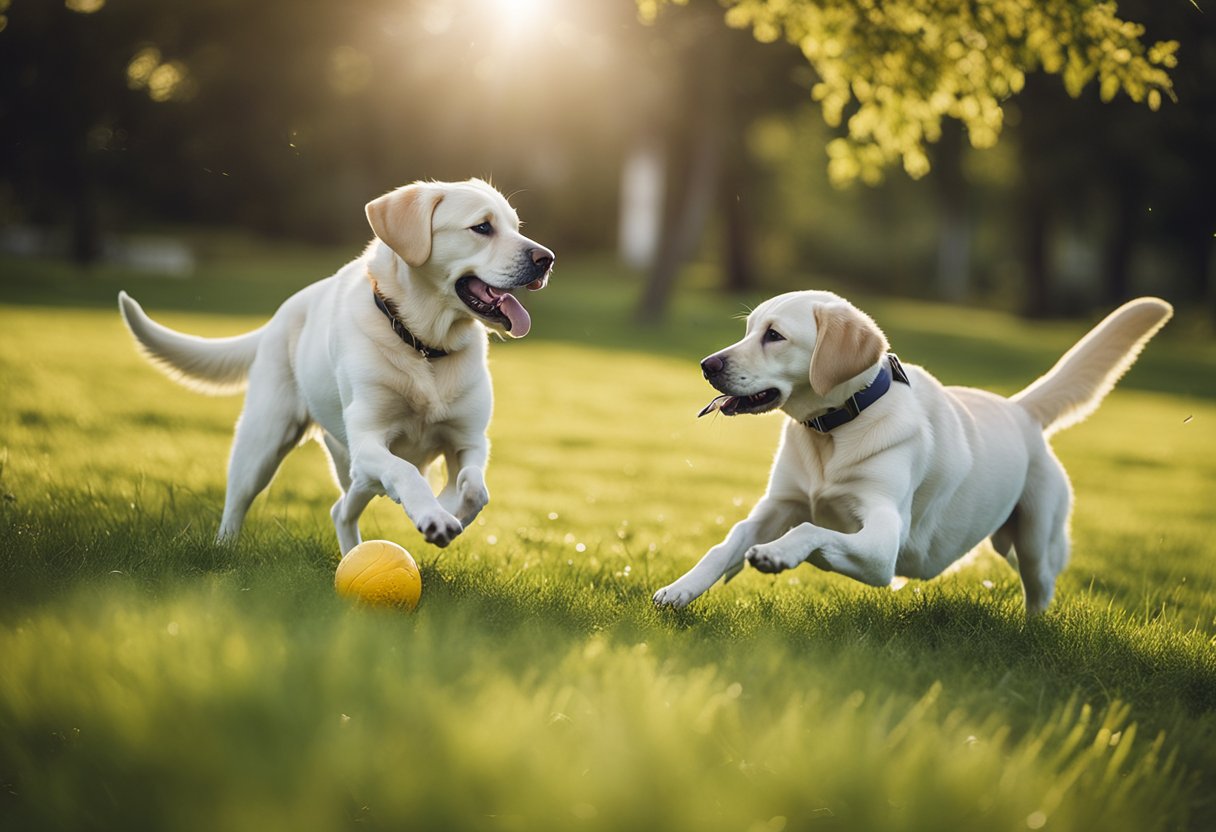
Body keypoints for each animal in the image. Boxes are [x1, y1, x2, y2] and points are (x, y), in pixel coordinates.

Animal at [116, 177, 554, 552]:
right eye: (482, 227)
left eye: (516, 226)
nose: (546, 258)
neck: (424, 346)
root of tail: (279, 316)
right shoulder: (370, 439)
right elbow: (408, 474)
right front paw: (433, 515)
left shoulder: (470, 440)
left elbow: (475, 489)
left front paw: (448, 509)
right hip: (266, 442)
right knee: (240, 500)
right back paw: (224, 549)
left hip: (352, 469)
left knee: (342, 509)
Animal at [651, 290, 1172, 610]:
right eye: (749, 330)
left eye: (774, 336)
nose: (707, 365)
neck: (834, 430)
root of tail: (1020, 409)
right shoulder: (776, 504)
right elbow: (728, 544)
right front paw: (681, 590)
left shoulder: (882, 543)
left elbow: (810, 532)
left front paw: (777, 554)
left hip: (1035, 543)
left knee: (1039, 592)